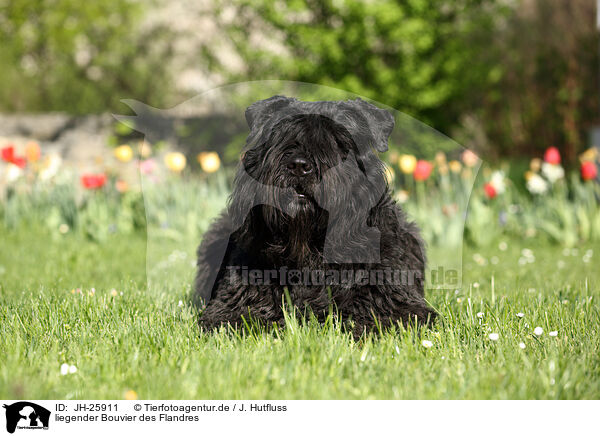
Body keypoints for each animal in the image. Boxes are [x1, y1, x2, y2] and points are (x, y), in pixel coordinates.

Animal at [197, 95, 436, 336]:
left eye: (339, 141)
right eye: (280, 135)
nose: (299, 166)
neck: (310, 246)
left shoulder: (396, 306)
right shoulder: (232, 307)